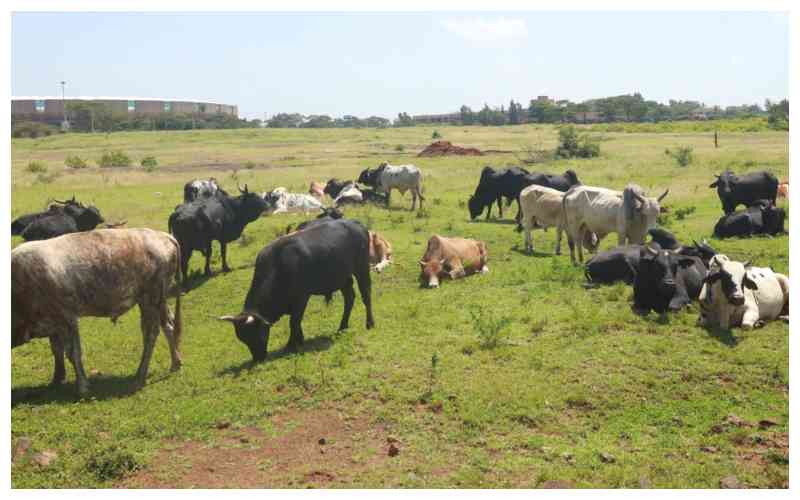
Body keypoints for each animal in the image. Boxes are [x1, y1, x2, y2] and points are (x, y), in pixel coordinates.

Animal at [11, 228, 183, 396]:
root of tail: (163, 235)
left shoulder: (68, 318)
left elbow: (73, 353)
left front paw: (83, 386)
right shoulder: (53, 324)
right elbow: (57, 350)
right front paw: (57, 379)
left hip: (150, 300)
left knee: (150, 334)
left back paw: (140, 375)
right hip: (159, 300)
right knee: (168, 325)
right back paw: (175, 363)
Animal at [218, 219, 375, 362]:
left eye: (255, 334)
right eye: (243, 339)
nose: (258, 358)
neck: (278, 265)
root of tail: (355, 223)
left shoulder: (301, 298)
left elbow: (294, 321)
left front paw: (291, 343)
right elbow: (296, 321)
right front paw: (299, 340)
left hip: (362, 268)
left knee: (366, 295)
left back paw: (369, 323)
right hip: (343, 278)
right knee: (349, 299)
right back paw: (342, 327)